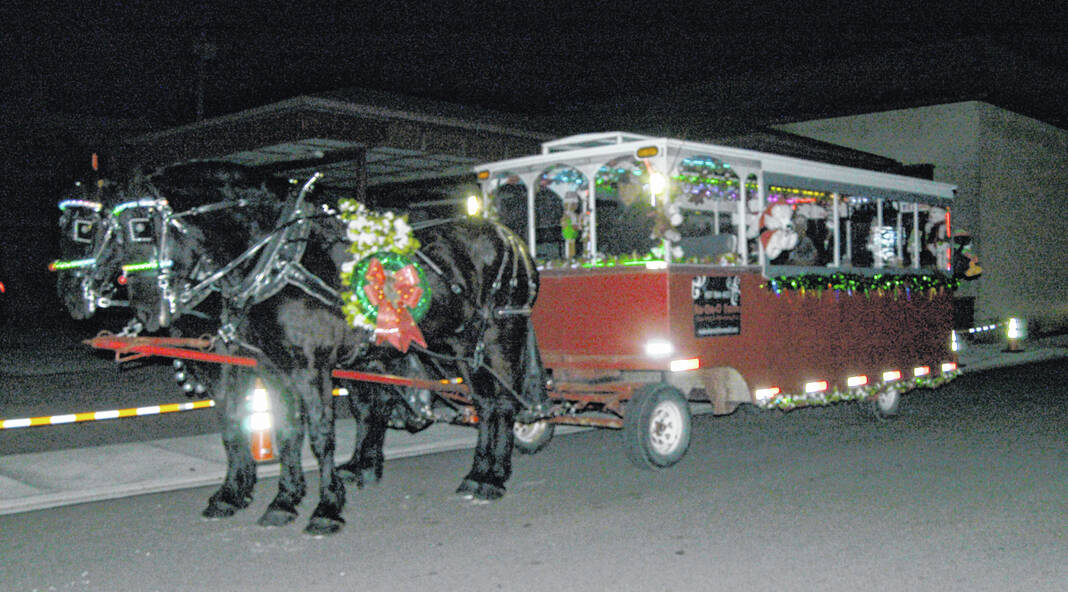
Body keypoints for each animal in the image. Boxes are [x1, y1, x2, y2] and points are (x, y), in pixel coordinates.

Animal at [84, 162, 546, 534]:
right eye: (105, 229)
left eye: (141, 227)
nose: (148, 310)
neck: (278, 263)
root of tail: (511, 239)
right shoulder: (271, 367)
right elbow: (284, 433)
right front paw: (283, 500)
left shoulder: (311, 368)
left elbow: (320, 438)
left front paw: (326, 508)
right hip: (461, 343)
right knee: (484, 404)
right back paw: (478, 474)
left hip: (498, 334)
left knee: (502, 404)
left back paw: (493, 477)